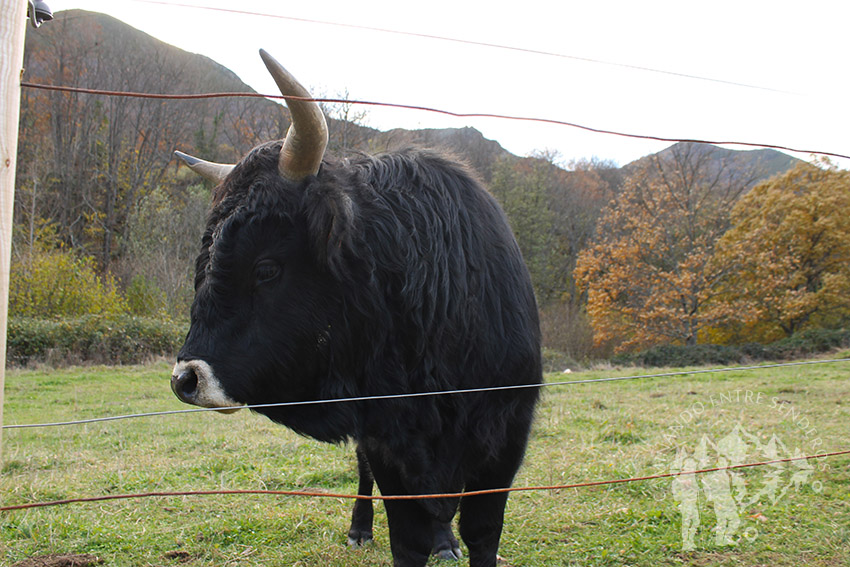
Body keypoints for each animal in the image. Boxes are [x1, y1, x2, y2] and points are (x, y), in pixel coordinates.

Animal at [171, 50, 540, 567]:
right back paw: (361, 527)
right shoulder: (386, 440)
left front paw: (451, 539)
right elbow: (407, 536)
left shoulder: (507, 436)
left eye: (266, 268)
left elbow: (482, 532)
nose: (185, 379)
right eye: (204, 261)